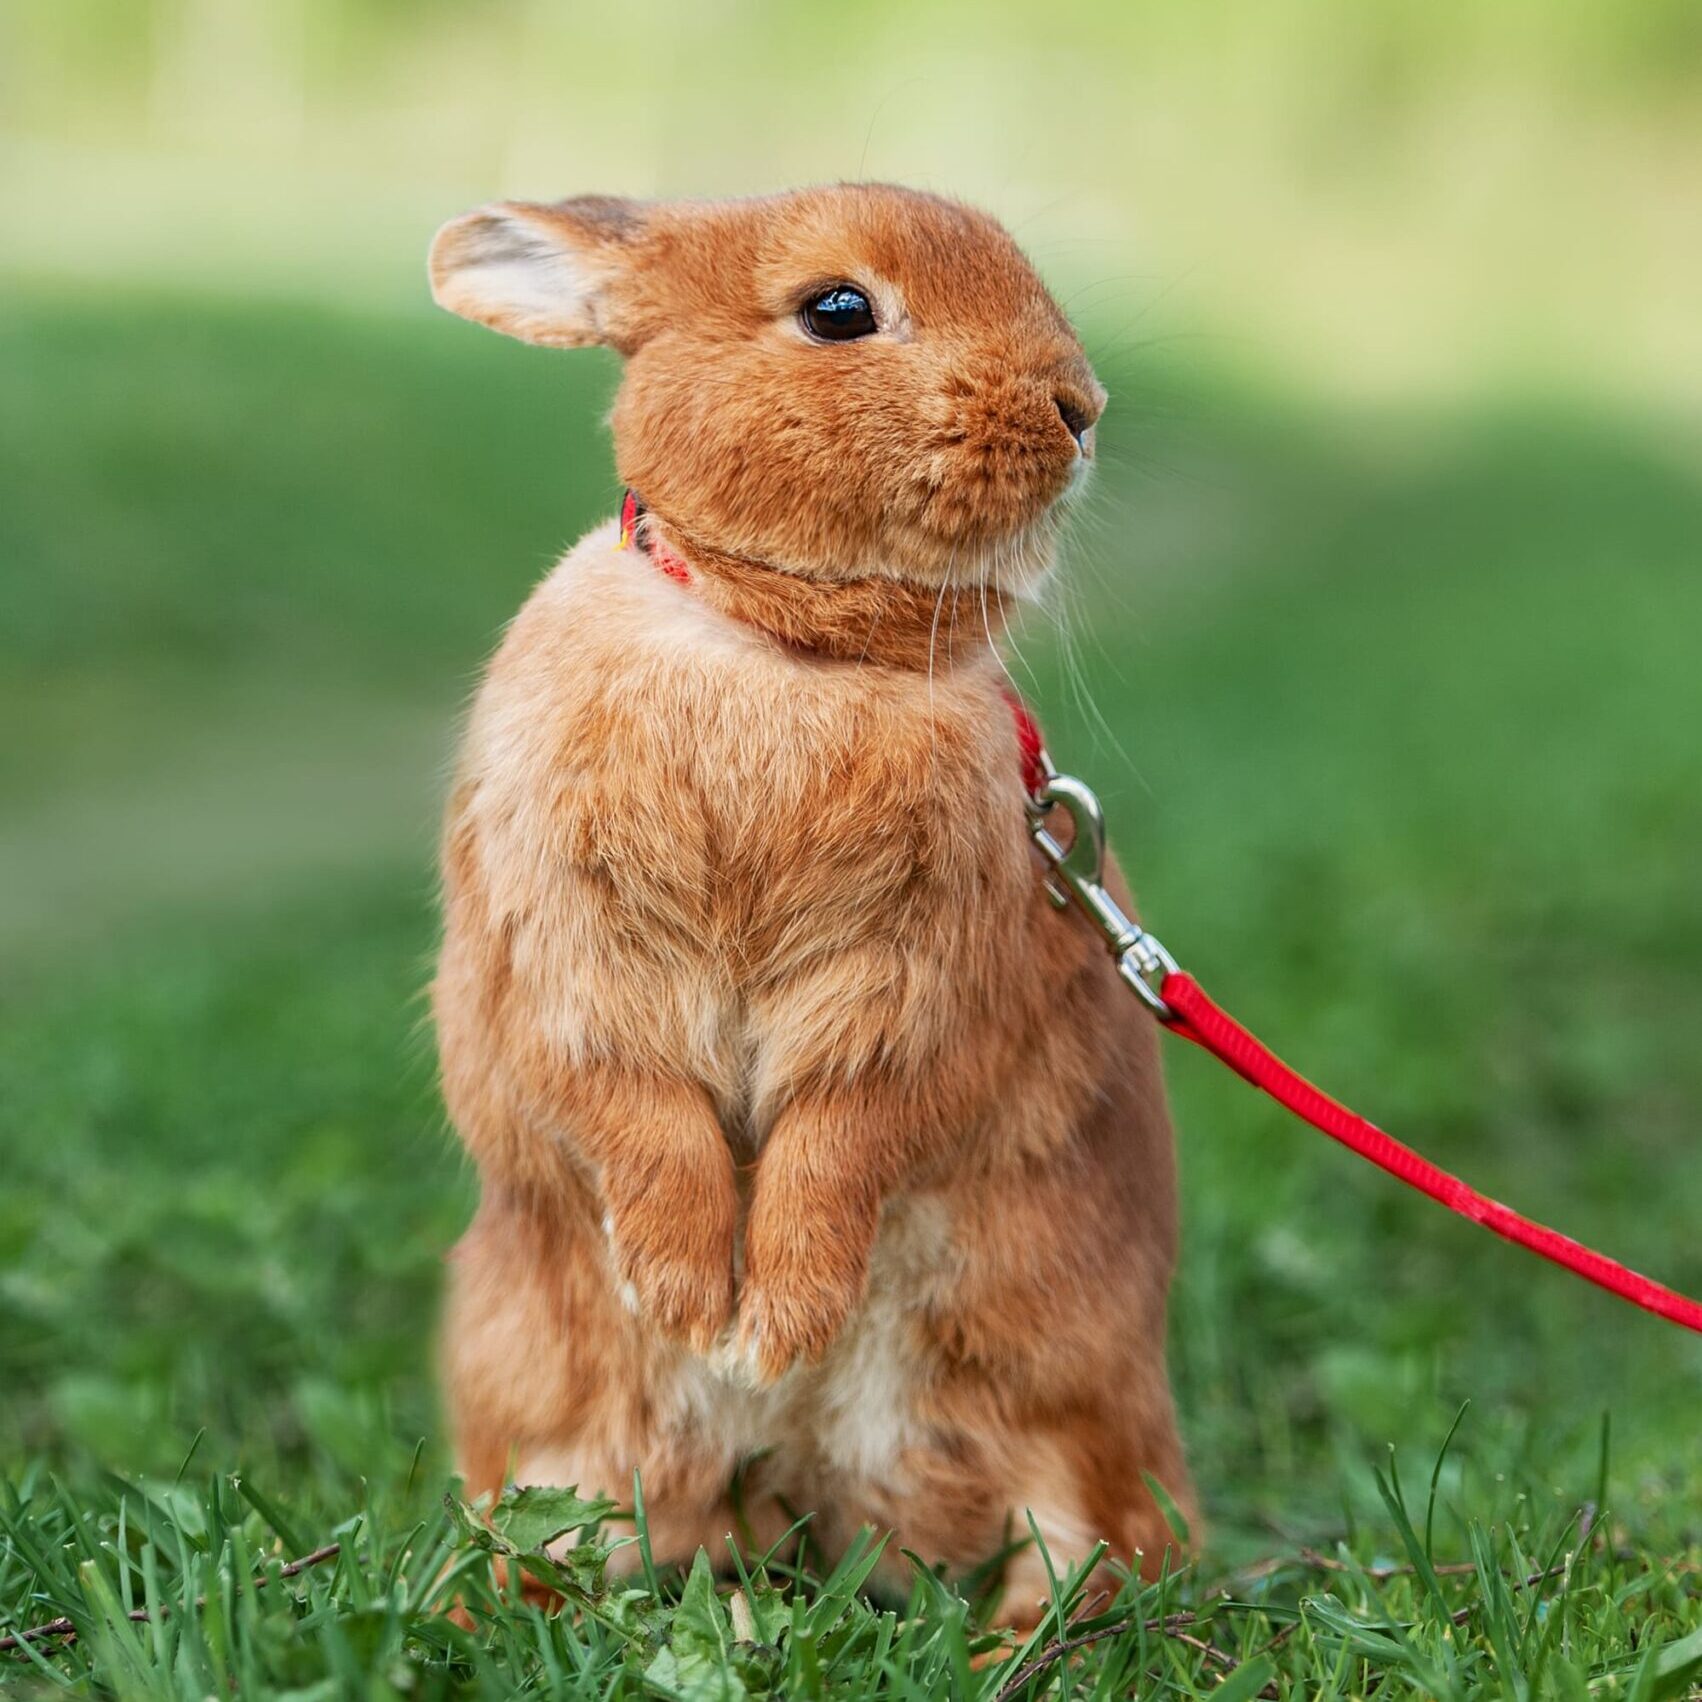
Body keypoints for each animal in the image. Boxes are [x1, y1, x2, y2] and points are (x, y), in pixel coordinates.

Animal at [428, 183, 1193, 1627]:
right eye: (837, 309)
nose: (1080, 405)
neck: (783, 645)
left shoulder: (912, 992)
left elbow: (840, 1142)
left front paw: (771, 1323)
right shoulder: (577, 960)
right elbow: (640, 1113)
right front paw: (689, 1300)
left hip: (1053, 1385)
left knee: (1105, 1543)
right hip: (547, 1397)